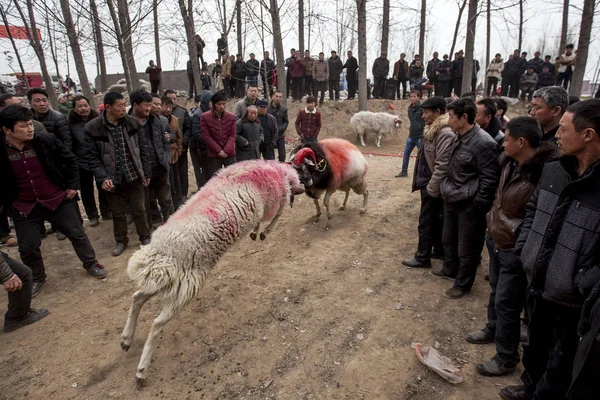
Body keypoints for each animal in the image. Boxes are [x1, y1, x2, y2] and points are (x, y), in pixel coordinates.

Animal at [120, 160, 304, 388]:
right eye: (299, 177)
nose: (304, 188)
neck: (276, 171)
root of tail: (160, 253)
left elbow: (264, 219)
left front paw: (255, 232)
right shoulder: (272, 202)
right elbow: (278, 214)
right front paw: (263, 232)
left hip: (167, 281)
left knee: (137, 298)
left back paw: (126, 339)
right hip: (187, 286)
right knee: (156, 324)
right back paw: (141, 369)